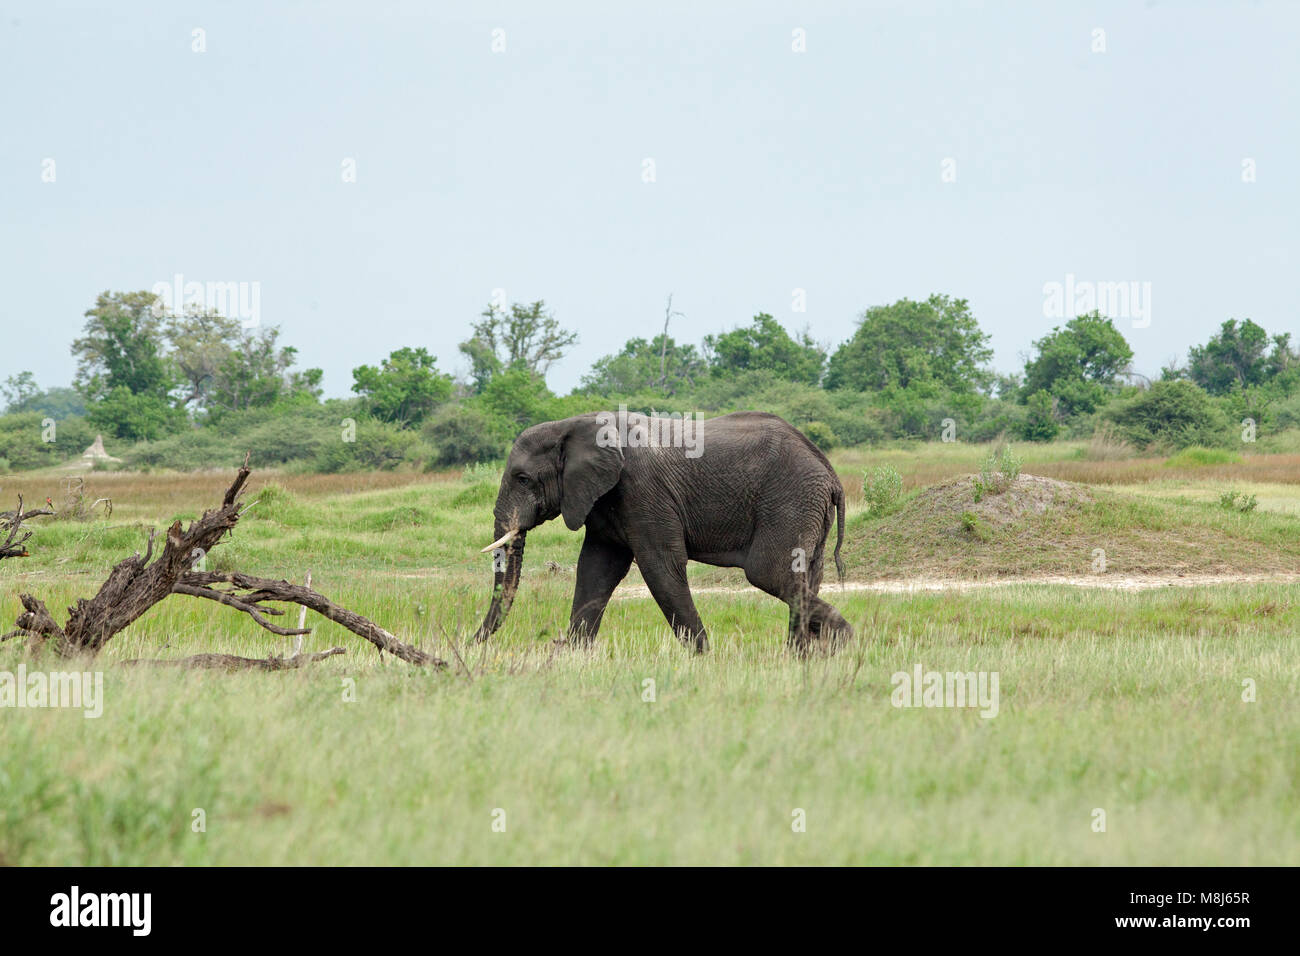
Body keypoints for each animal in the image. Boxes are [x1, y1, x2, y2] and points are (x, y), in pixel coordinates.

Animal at [470, 408, 852, 655]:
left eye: (523, 479)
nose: (471, 643)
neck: (573, 424)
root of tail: (832, 475)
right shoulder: (603, 498)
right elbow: (596, 569)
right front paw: (571, 654)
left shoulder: (642, 490)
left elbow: (660, 566)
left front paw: (703, 656)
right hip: (807, 507)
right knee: (805, 575)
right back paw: (805, 655)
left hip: (790, 500)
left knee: (768, 573)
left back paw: (840, 640)